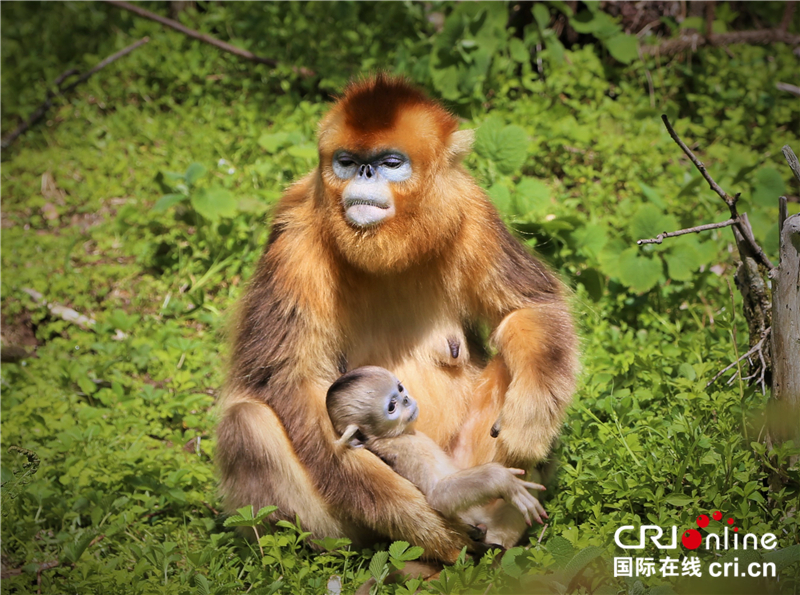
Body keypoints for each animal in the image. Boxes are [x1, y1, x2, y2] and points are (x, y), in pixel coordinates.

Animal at [326, 364, 552, 544]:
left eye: (400, 388)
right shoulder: (405, 450)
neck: (397, 435)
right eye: (392, 406)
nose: (406, 399)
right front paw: (500, 479)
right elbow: (437, 496)